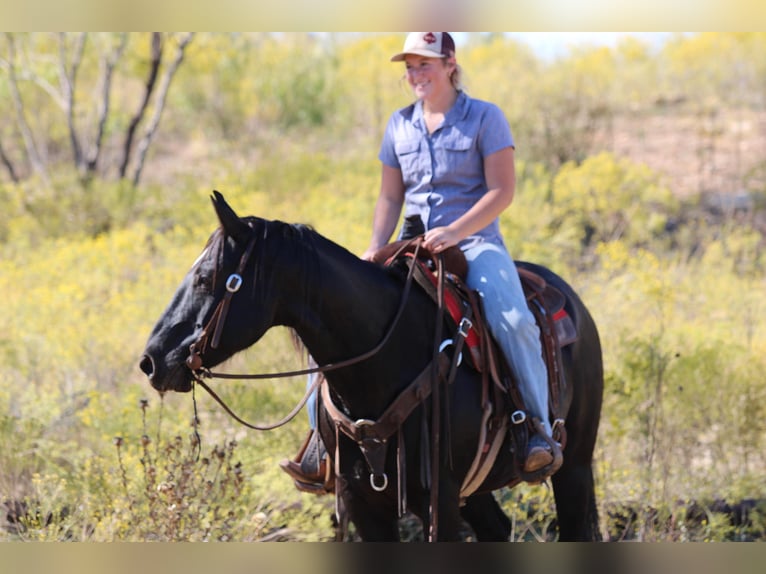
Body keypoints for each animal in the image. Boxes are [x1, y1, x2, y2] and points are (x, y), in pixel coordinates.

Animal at [141, 195, 604, 544]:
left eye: (205, 277)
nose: (151, 359)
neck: (385, 365)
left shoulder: (438, 500)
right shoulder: (363, 503)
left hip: (575, 465)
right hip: (476, 492)